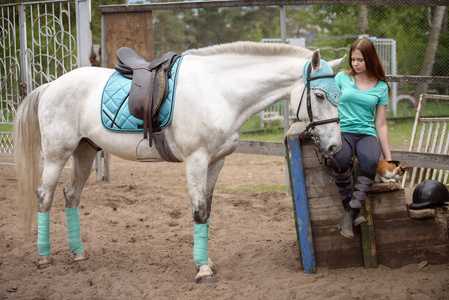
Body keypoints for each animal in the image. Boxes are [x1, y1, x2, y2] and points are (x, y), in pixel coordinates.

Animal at [14, 41, 344, 282]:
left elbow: (207, 210)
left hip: (84, 152)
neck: (220, 90)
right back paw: (44, 257)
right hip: (57, 154)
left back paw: (78, 253)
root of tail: (51, 86)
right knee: (44, 196)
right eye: (319, 95)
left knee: (71, 194)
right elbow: (198, 211)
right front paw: (203, 270)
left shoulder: (216, 161)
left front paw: (207, 260)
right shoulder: (196, 160)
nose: (334, 145)